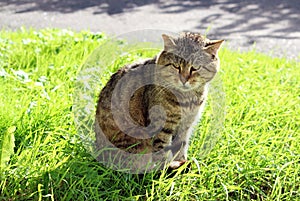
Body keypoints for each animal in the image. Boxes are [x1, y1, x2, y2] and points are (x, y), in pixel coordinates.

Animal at [94, 31, 223, 171]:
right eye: (176, 66)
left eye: (195, 68)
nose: (183, 79)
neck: (187, 100)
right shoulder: (161, 127)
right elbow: (163, 153)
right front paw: (166, 170)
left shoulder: (185, 126)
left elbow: (181, 147)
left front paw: (182, 165)